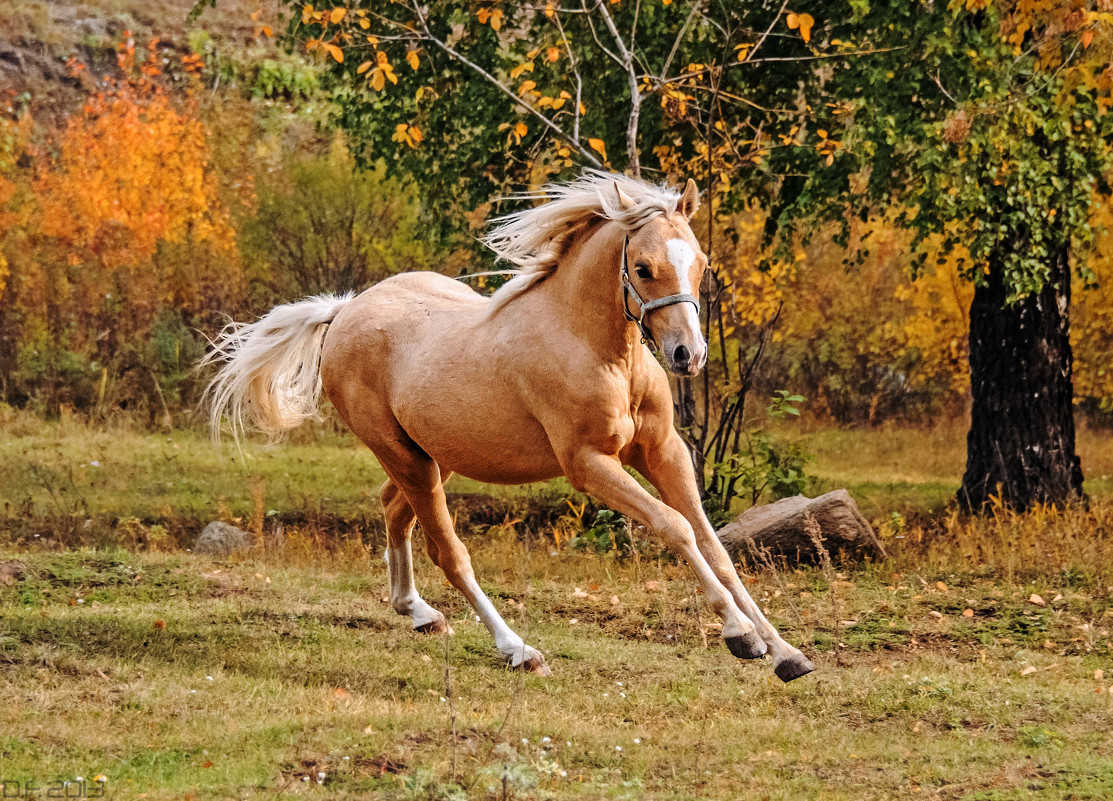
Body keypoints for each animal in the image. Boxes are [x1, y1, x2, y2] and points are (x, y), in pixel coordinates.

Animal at [204, 169, 819, 680]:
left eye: (701, 263)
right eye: (643, 268)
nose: (688, 355)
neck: (598, 350)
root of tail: (344, 312)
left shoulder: (663, 451)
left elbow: (715, 546)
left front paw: (785, 653)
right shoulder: (589, 465)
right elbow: (676, 528)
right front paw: (740, 636)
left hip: (434, 457)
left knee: (393, 510)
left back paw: (418, 612)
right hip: (408, 458)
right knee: (449, 553)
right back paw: (518, 649)